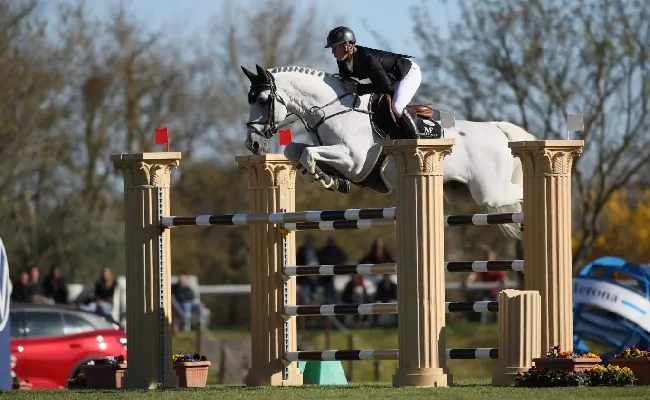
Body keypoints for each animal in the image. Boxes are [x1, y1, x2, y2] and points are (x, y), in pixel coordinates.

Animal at [240, 64, 537, 240]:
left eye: (263, 100)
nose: (252, 143)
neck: (333, 109)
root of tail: (498, 129)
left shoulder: (354, 160)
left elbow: (309, 154)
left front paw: (323, 177)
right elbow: (295, 150)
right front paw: (326, 178)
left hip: (489, 192)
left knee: (519, 190)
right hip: (461, 192)